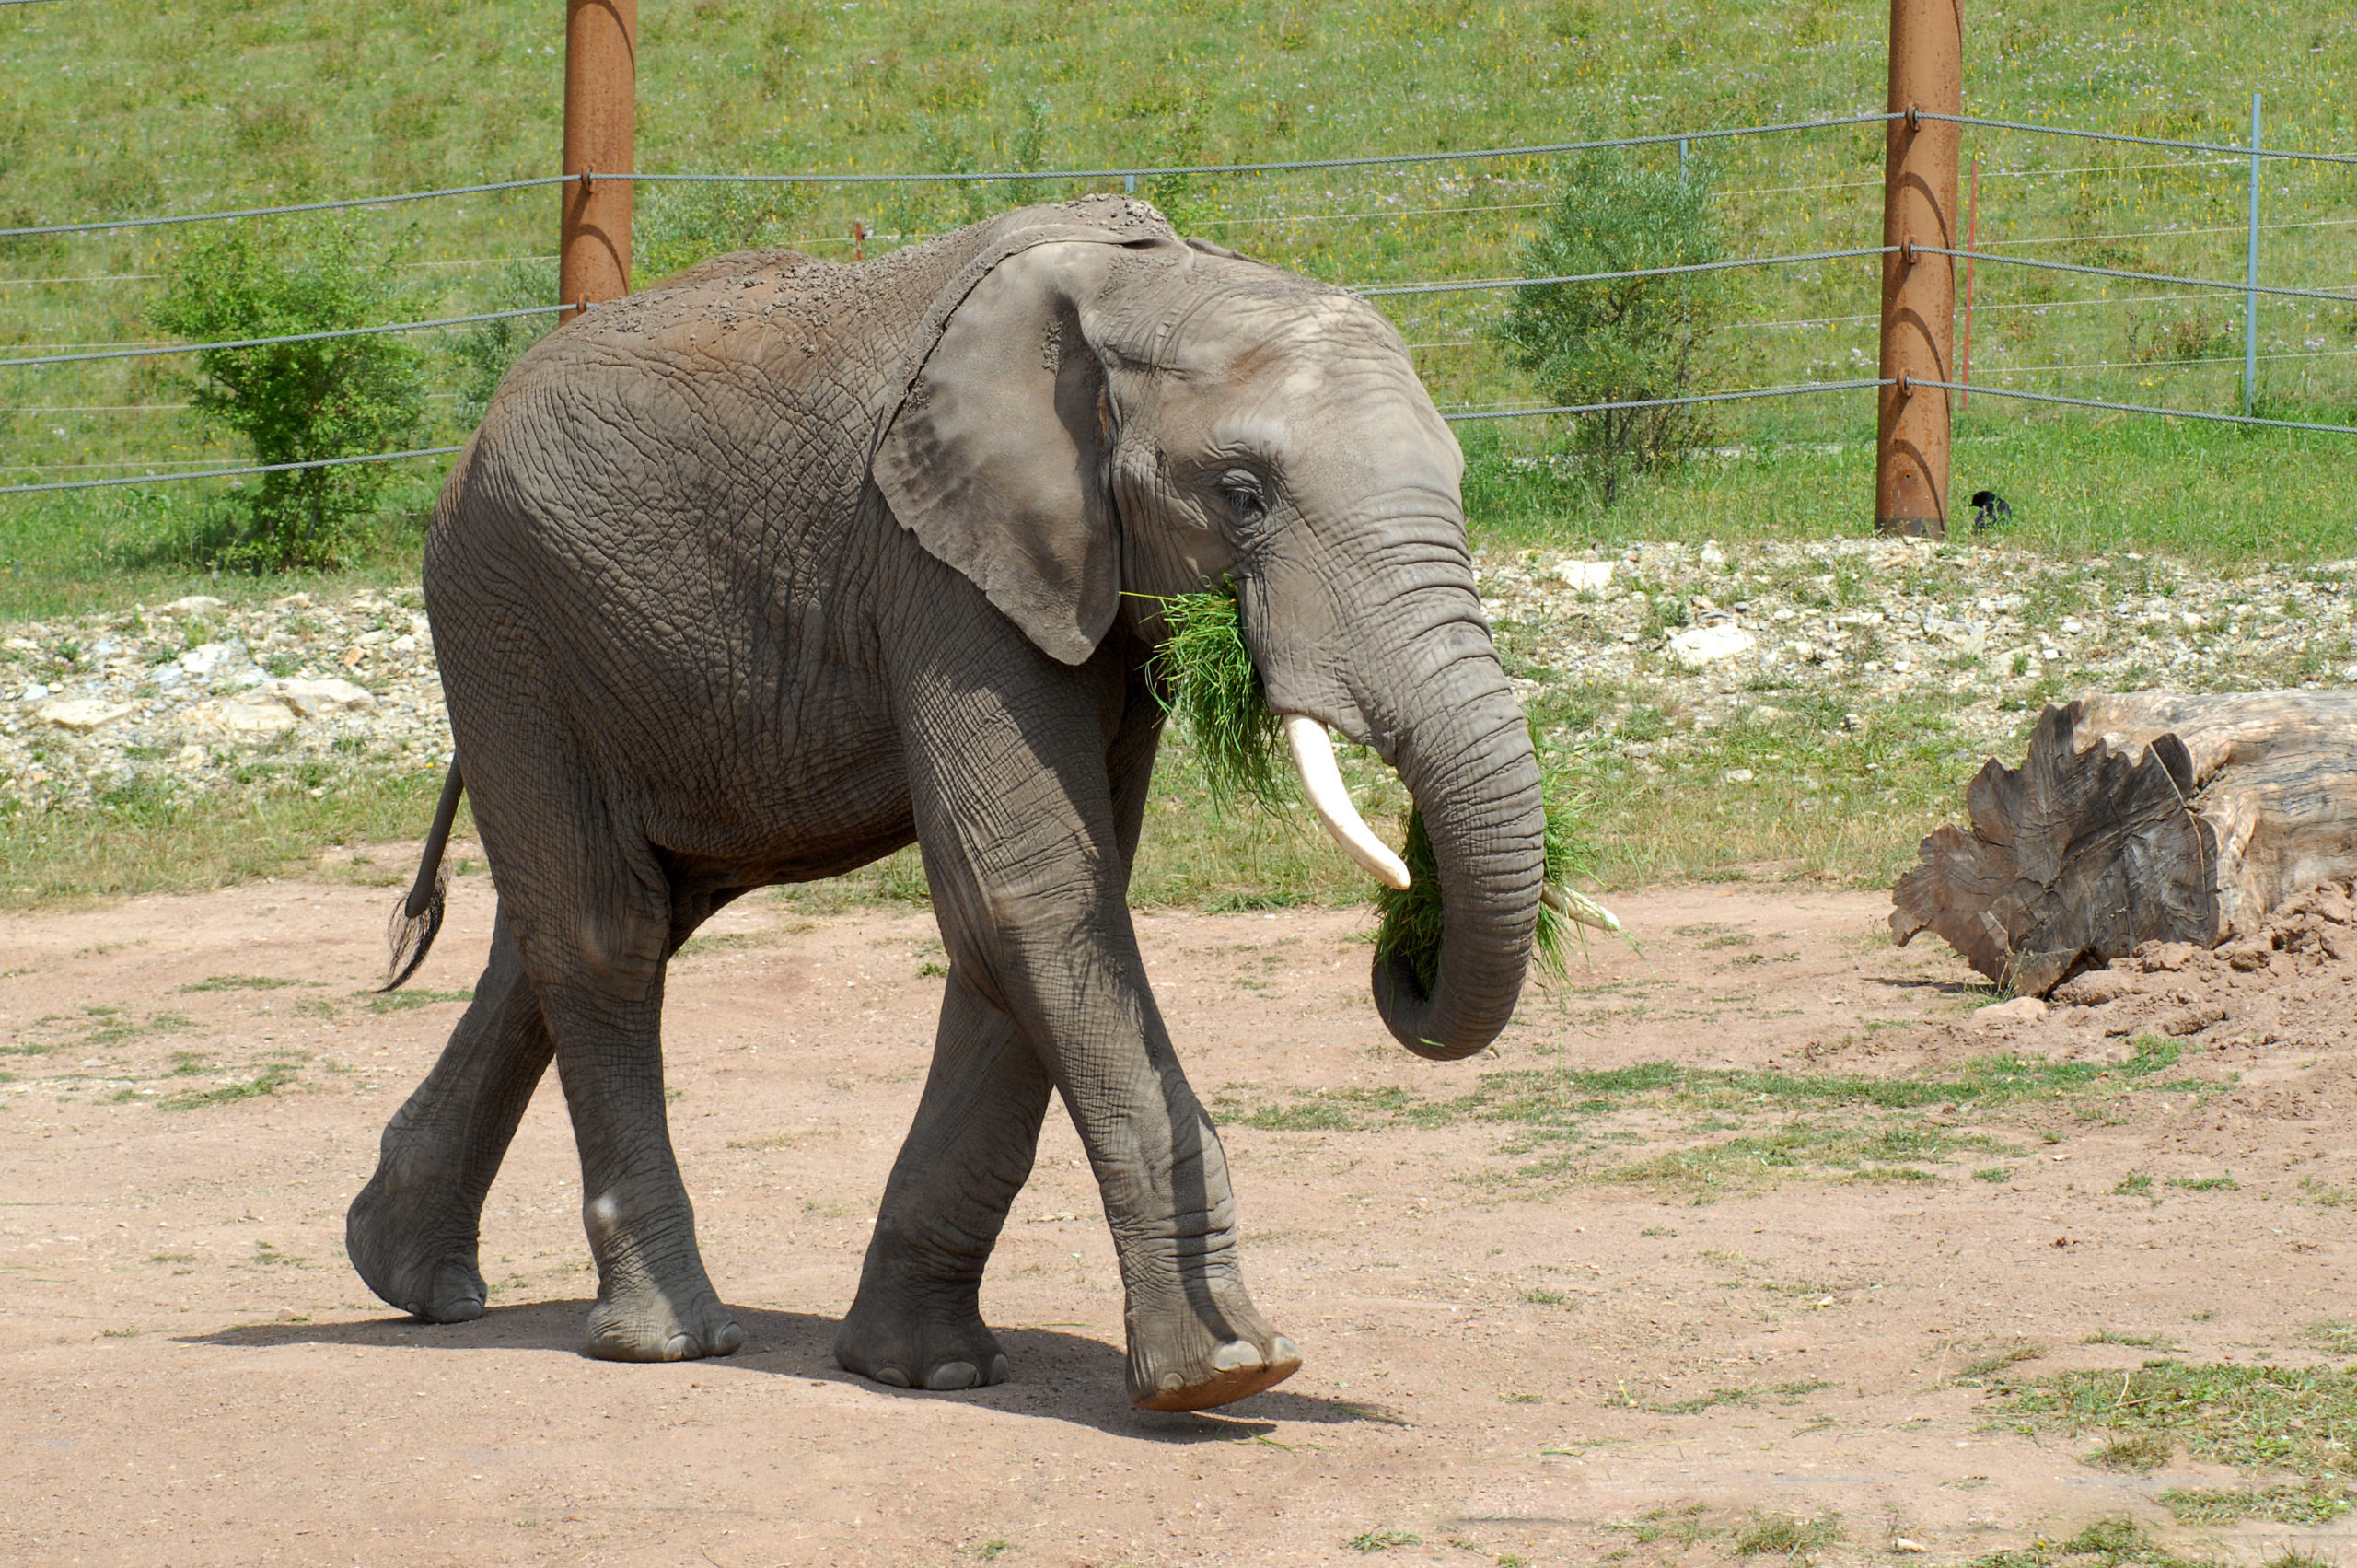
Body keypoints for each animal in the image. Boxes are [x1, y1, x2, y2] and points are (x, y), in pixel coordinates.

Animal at [343, 192, 1546, 1405]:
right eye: (1242, 497)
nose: (1407, 933)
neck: (1155, 285)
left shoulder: (1072, 590)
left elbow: (1039, 910)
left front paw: (925, 1367)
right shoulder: (939, 567)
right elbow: (1027, 890)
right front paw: (1225, 1371)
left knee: (587, 922)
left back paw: (408, 1276)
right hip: (504, 618)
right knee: (605, 932)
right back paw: (668, 1336)